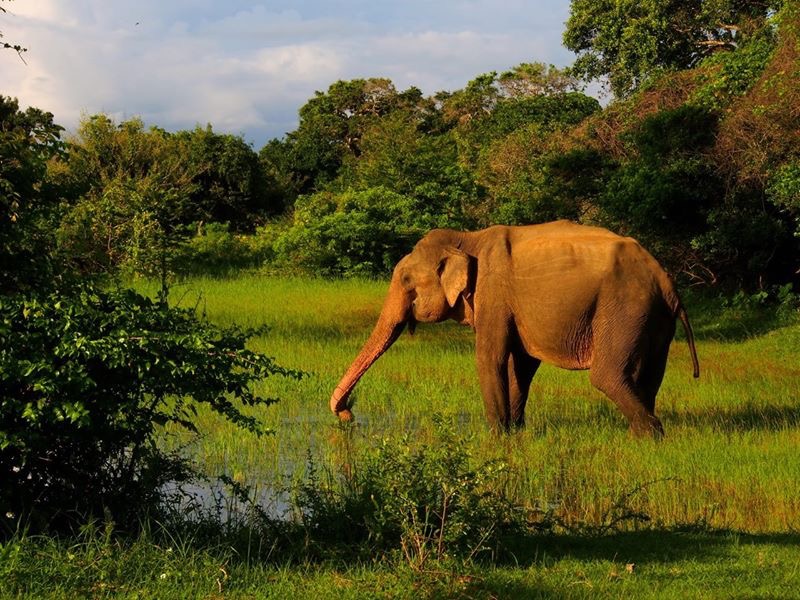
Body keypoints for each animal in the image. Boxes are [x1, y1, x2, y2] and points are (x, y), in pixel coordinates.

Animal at [328, 220, 696, 436]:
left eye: (405, 281)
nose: (347, 415)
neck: (468, 239)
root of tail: (666, 281)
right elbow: (522, 365)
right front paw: (516, 433)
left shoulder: (493, 291)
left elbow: (490, 358)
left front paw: (496, 437)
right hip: (651, 318)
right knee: (647, 378)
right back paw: (643, 436)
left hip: (624, 307)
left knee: (607, 376)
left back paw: (651, 437)